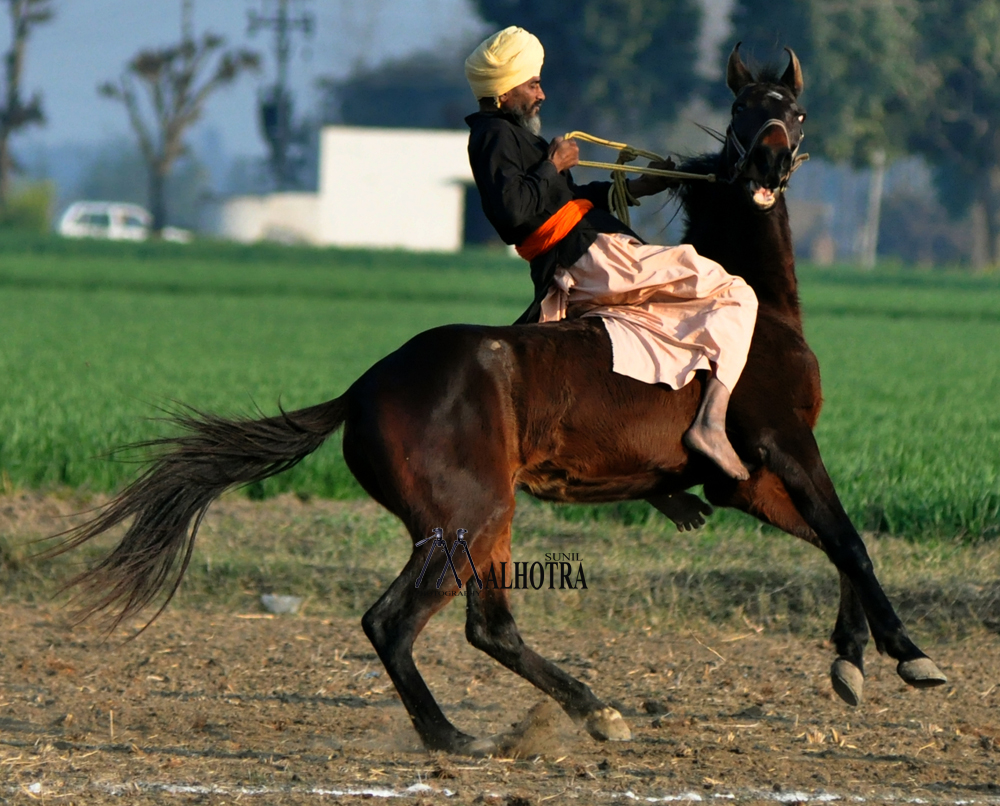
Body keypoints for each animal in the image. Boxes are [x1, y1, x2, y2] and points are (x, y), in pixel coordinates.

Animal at [50, 45, 944, 756]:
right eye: (741, 110)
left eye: (792, 110)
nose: (764, 164)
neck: (760, 307)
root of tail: (366, 386)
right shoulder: (784, 445)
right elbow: (849, 538)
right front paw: (908, 652)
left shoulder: (744, 479)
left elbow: (834, 545)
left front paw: (850, 659)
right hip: (469, 515)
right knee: (396, 621)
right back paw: (459, 734)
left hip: (484, 520)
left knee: (488, 624)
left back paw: (584, 711)